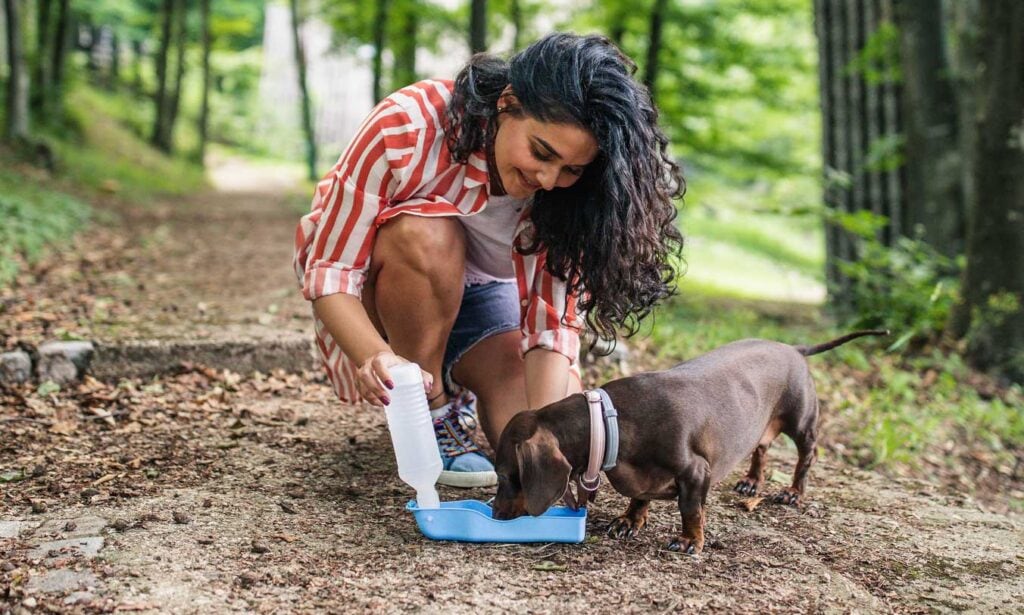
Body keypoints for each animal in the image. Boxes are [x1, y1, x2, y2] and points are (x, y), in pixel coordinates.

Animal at [491, 329, 884, 552]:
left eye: (507, 474)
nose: (494, 513)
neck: (610, 422)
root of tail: (793, 348)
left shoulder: (696, 472)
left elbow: (691, 510)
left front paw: (690, 541)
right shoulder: (642, 477)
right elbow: (639, 497)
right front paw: (629, 521)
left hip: (802, 421)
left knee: (807, 456)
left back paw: (793, 493)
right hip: (761, 425)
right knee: (761, 448)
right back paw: (751, 483)